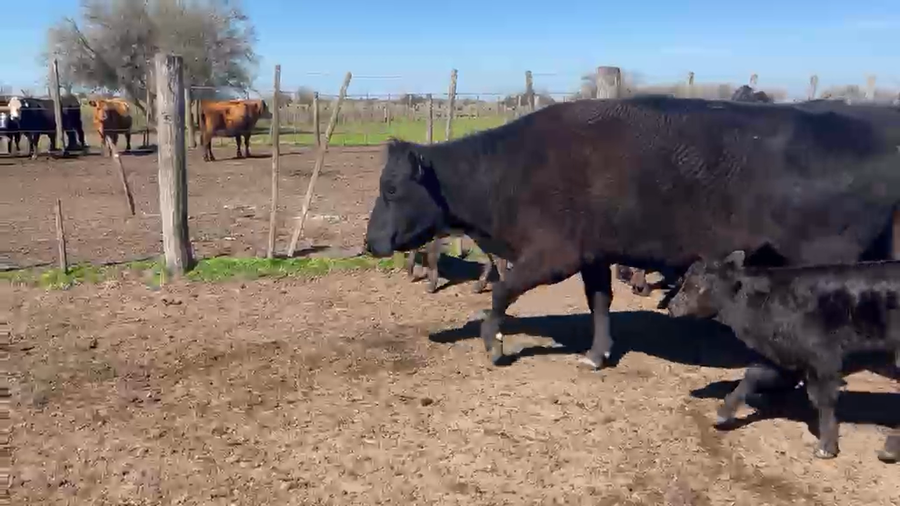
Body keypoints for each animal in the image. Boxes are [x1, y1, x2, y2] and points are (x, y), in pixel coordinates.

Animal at [364, 96, 900, 369]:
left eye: (390, 188)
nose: (370, 243)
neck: (511, 169)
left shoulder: (552, 254)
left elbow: (502, 291)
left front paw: (493, 345)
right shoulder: (594, 253)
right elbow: (599, 302)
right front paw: (597, 354)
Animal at [667, 250, 900, 462]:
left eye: (697, 285)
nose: (671, 306)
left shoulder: (822, 359)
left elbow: (823, 399)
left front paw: (826, 447)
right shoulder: (785, 355)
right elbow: (752, 376)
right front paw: (724, 413)